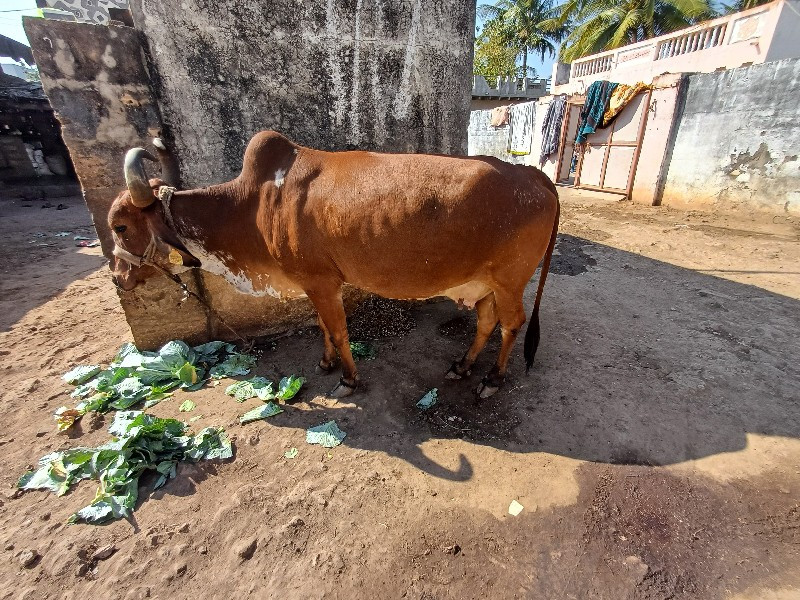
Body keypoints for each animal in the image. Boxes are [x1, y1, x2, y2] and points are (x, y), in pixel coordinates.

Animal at [109, 131, 560, 398]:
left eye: (119, 226)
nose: (117, 276)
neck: (255, 205)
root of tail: (534, 175)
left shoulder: (322, 281)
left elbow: (340, 331)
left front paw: (347, 378)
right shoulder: (311, 284)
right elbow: (322, 326)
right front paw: (326, 363)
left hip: (510, 281)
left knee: (511, 324)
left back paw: (492, 379)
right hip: (483, 283)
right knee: (486, 322)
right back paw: (463, 366)